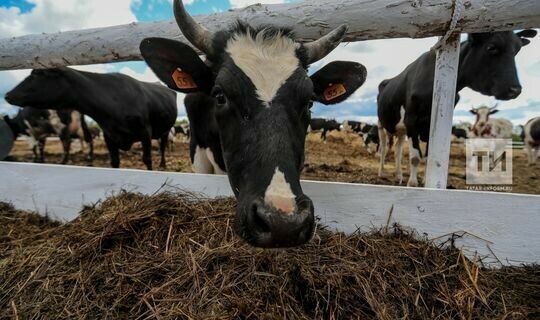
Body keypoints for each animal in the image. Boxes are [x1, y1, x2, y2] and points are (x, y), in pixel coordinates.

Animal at [5, 67, 178, 170]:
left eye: (37, 75)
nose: (7, 94)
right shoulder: (109, 135)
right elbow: (114, 161)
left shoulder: (145, 132)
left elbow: (147, 159)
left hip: (165, 130)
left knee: (162, 147)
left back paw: (163, 164)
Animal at [376, 29, 536, 186]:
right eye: (491, 47)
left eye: (517, 50)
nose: (515, 89)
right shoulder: (411, 121)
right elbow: (415, 158)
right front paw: (413, 184)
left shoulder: (429, 127)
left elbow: (428, 158)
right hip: (381, 125)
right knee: (384, 149)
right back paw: (381, 172)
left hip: (401, 130)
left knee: (397, 150)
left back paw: (398, 176)